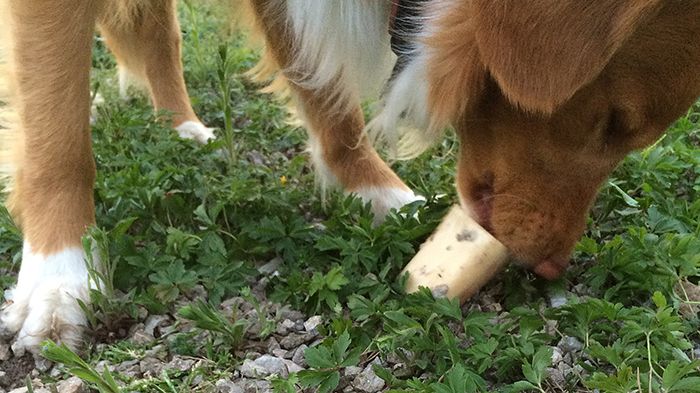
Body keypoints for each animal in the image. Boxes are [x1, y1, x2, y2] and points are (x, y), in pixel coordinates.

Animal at [0, 1, 696, 352]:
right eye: (615, 122)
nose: (550, 266)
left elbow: (327, 98)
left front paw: (382, 195)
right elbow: (57, 135)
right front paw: (59, 278)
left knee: (158, 34)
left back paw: (185, 130)